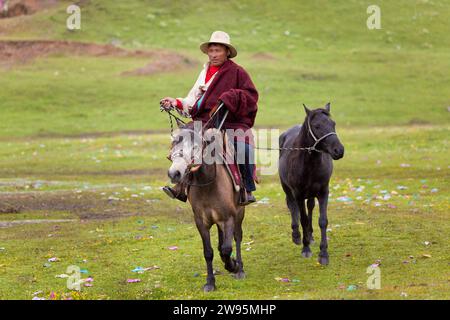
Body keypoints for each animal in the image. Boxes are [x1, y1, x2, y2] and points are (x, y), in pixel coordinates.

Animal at [168, 126, 246, 292]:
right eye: (173, 143)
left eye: (195, 147)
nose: (174, 173)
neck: (208, 184)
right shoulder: (201, 222)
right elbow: (209, 252)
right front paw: (210, 282)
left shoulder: (229, 218)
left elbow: (227, 248)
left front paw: (233, 266)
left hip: (239, 213)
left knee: (237, 238)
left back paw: (240, 269)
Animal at [278, 102, 344, 264]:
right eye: (317, 126)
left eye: (333, 123)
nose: (339, 150)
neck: (309, 163)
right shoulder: (299, 194)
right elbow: (302, 218)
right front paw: (305, 248)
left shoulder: (323, 192)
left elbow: (322, 220)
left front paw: (324, 254)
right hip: (287, 188)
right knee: (291, 205)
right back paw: (297, 235)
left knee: (310, 207)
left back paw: (310, 235)